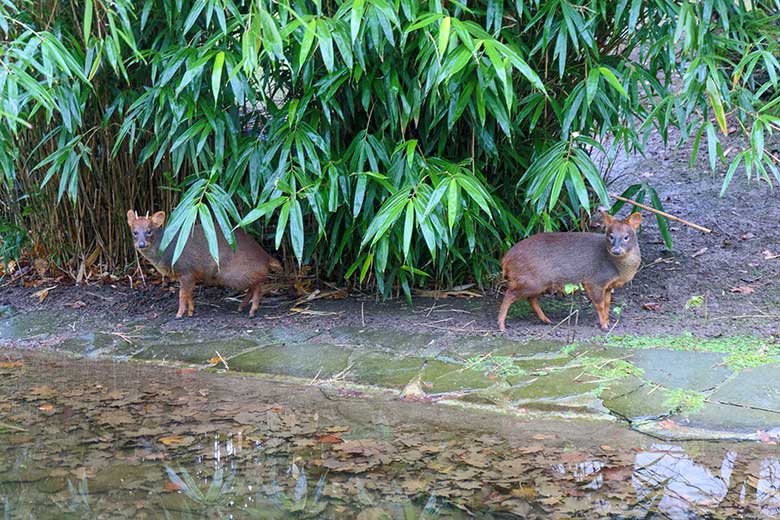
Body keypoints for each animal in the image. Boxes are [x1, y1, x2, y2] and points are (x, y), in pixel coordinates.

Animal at [128, 210, 284, 316]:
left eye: (149, 231)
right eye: (134, 232)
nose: (141, 244)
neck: (166, 250)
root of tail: (265, 256)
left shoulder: (185, 270)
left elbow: (182, 294)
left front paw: (180, 314)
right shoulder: (190, 275)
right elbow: (189, 294)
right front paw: (191, 311)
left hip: (233, 274)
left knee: (258, 285)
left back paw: (252, 310)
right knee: (253, 285)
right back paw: (241, 307)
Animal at [500, 209, 640, 332]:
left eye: (626, 237)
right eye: (610, 236)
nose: (616, 250)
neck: (618, 268)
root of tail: (505, 259)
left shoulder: (608, 286)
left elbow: (607, 304)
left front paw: (608, 322)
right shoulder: (595, 281)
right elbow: (600, 305)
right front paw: (604, 326)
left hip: (538, 282)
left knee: (531, 298)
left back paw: (547, 320)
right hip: (530, 280)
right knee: (509, 294)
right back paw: (501, 326)